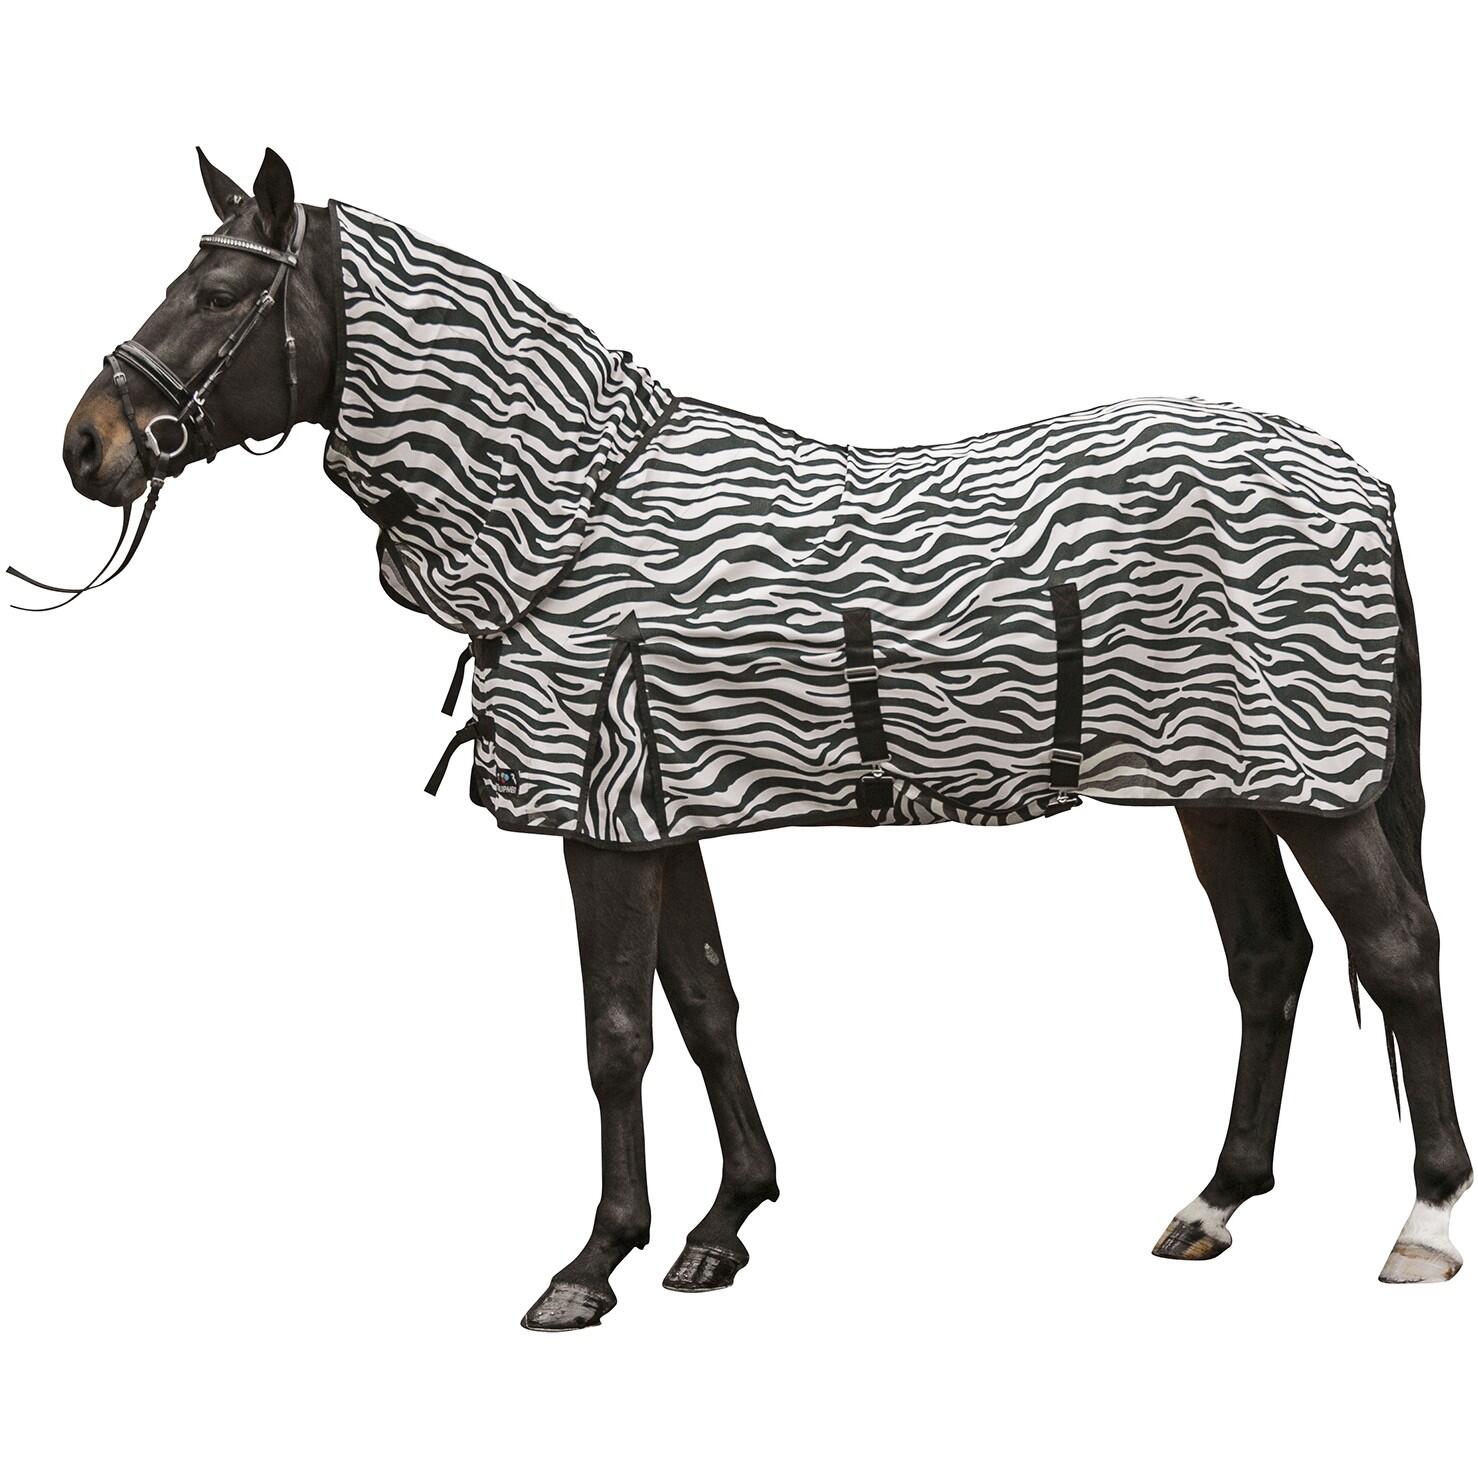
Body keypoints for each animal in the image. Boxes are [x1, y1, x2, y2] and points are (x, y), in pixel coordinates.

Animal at [41, 148, 1470, 1329]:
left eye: (219, 290)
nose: (85, 446)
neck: (570, 515)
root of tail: (1357, 476)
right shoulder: (657, 807)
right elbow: (706, 1003)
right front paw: (723, 1224)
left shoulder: (602, 820)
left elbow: (615, 1029)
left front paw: (591, 1260)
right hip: (1218, 784)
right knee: (1269, 961)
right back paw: (1213, 1200)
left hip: (1314, 787)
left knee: (1394, 951)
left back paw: (1424, 1222)